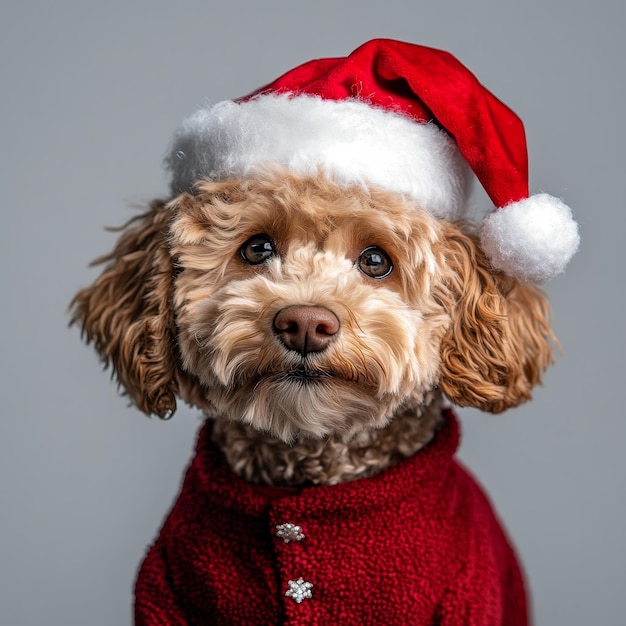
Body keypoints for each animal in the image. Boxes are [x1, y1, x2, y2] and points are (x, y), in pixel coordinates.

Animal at [69, 39, 576, 624]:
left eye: (376, 260)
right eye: (257, 248)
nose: (305, 325)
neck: (312, 472)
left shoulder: (470, 596)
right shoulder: (165, 595)